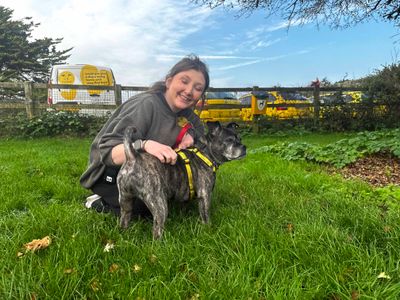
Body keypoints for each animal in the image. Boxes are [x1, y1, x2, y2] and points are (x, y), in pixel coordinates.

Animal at [116, 121, 247, 239]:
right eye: (229, 140)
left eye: (240, 139)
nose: (244, 147)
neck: (205, 153)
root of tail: (133, 157)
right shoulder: (205, 196)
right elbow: (205, 215)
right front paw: (208, 230)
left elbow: (184, 207)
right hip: (159, 205)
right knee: (157, 229)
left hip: (125, 200)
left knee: (124, 219)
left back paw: (124, 236)